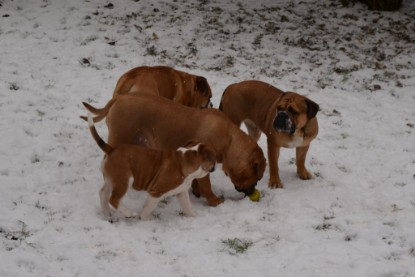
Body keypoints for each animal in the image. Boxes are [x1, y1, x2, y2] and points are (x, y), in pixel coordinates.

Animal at [83, 94, 266, 205]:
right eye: (256, 177)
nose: (253, 190)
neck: (229, 140)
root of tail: (119, 97)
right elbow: (206, 185)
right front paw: (214, 201)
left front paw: (196, 191)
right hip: (119, 137)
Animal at [84, 110, 216, 220]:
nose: (214, 167)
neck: (186, 158)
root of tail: (111, 149)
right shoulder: (156, 192)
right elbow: (147, 209)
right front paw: (144, 220)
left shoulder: (181, 192)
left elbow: (187, 207)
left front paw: (194, 218)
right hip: (125, 179)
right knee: (114, 199)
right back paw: (129, 213)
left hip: (112, 179)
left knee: (103, 194)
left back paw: (107, 214)